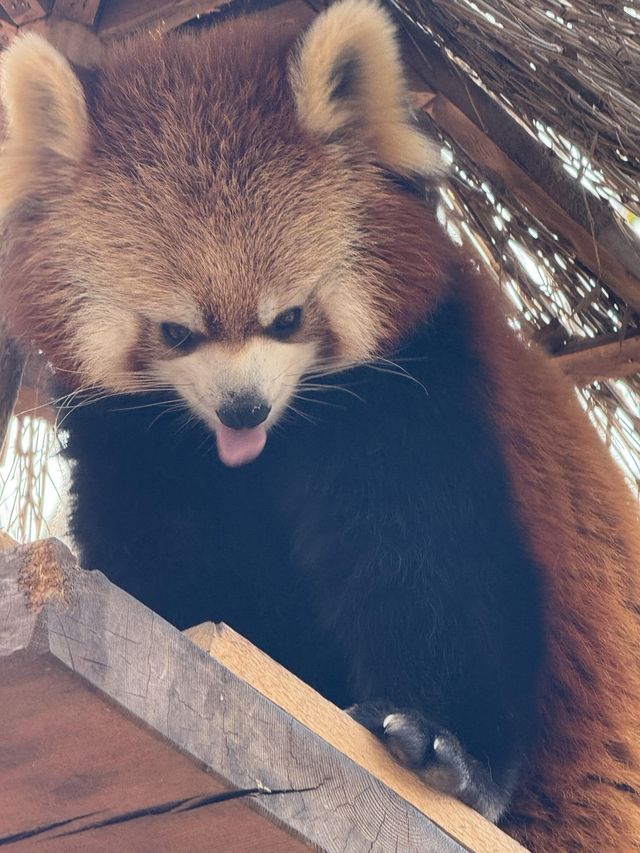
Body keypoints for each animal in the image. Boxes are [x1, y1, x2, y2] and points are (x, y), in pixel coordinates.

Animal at [1, 3, 640, 848]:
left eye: (289, 318)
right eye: (175, 331)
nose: (243, 408)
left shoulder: (415, 389)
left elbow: (432, 562)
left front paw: (444, 745)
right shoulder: (136, 438)